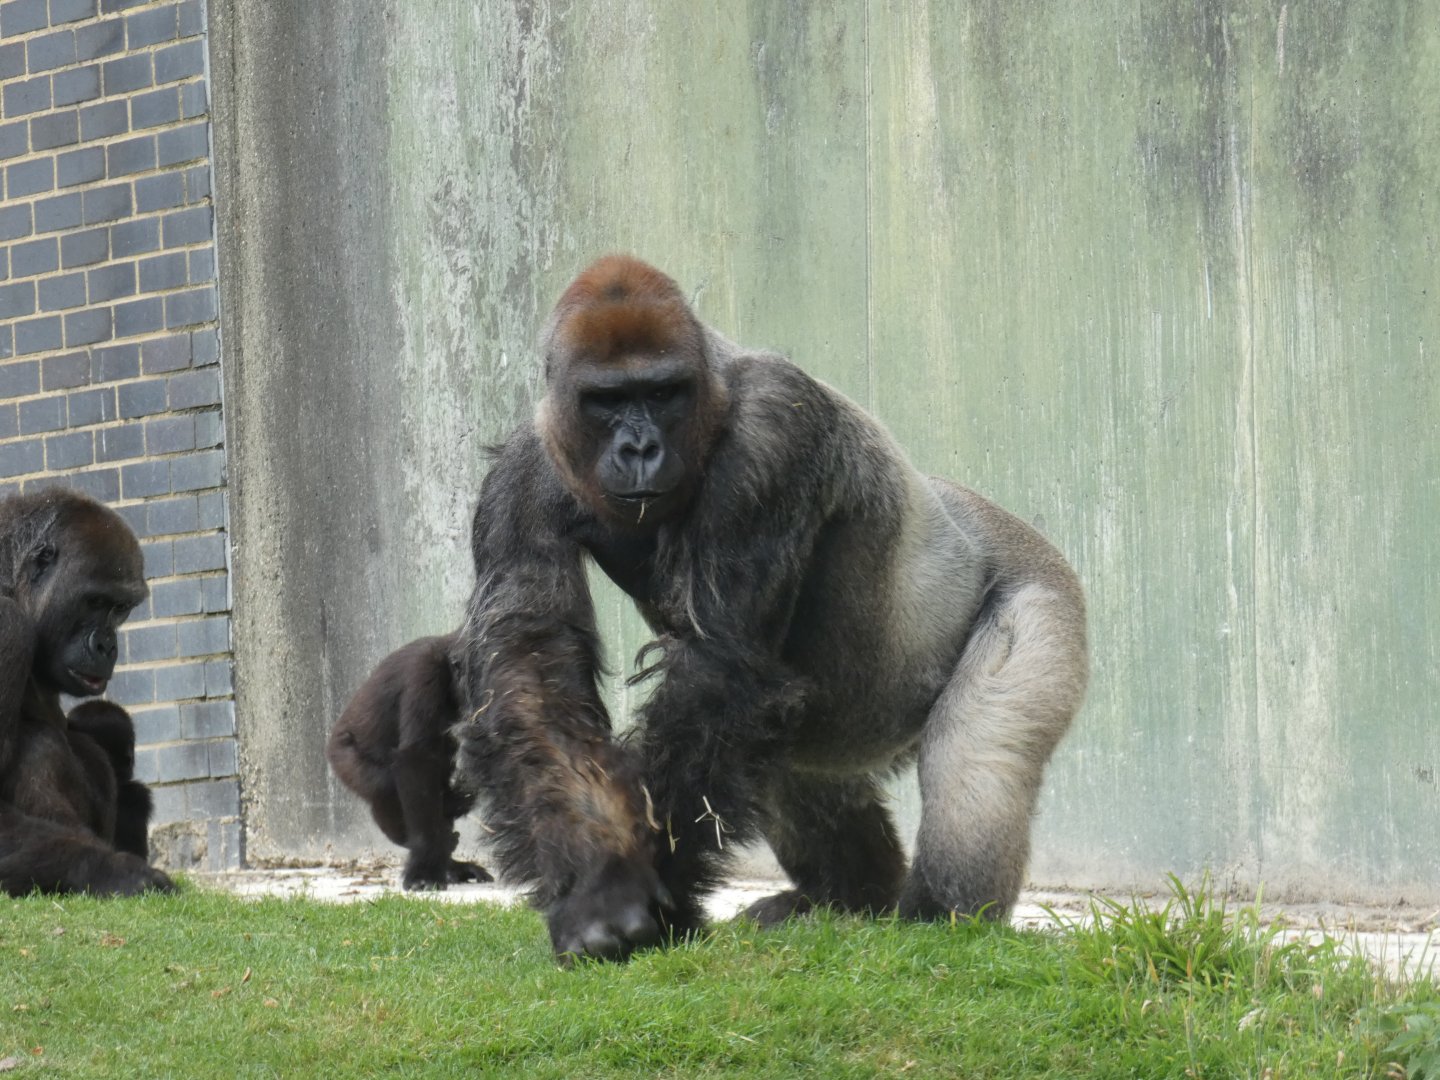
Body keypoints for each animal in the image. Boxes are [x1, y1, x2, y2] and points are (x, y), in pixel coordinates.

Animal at [0, 489, 174, 896]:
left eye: (120, 608)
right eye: (94, 601)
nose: (107, 647)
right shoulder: (6, 625)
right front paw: (113, 871)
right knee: (41, 745)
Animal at [452, 255, 1087, 962]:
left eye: (663, 393)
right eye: (606, 400)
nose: (639, 450)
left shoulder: (773, 429)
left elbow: (720, 662)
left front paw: (652, 892)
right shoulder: (522, 470)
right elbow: (532, 667)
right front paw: (599, 885)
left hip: (1040, 587)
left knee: (973, 767)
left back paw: (939, 919)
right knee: (801, 779)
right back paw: (848, 899)